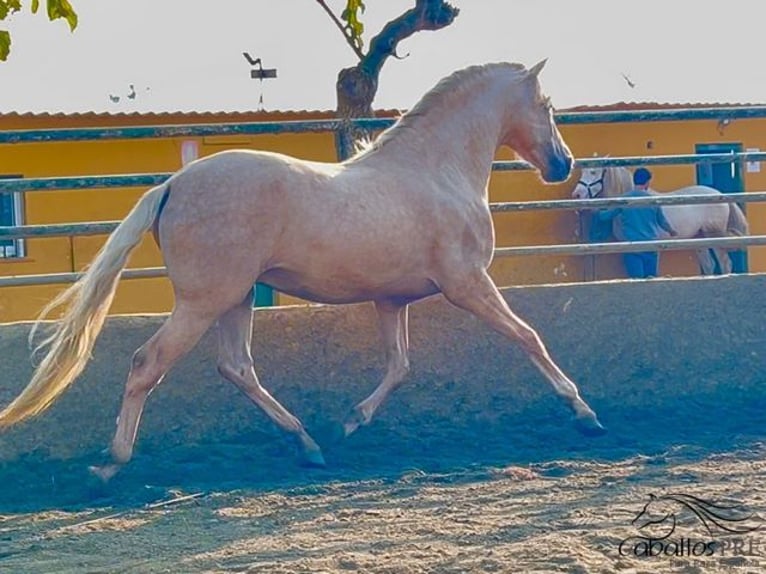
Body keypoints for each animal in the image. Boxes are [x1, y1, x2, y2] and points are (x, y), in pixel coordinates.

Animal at [0, 59, 608, 482]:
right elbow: (528, 337)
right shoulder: (469, 285)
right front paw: (585, 414)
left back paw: (309, 445)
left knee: (236, 366)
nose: (563, 164)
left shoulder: (392, 301)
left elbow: (398, 366)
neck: (437, 172)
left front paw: (349, 422)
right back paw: (110, 465)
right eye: (548, 104)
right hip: (203, 301)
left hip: (237, 297)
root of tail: (172, 185)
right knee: (148, 363)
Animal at [576, 165, 752, 276]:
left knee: (725, 263)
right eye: (583, 172)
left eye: (593, 172)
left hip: (713, 236)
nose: (576, 194)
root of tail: (720, 194)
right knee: (710, 265)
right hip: (699, 238)